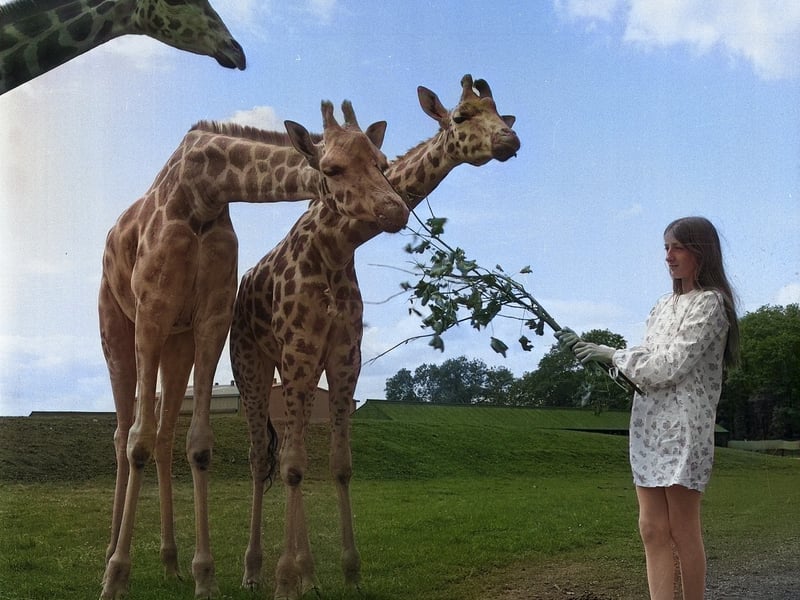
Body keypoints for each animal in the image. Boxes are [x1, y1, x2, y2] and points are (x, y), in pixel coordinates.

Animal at [98, 100, 404, 600]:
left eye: (381, 163)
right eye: (332, 168)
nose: (395, 210)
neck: (203, 190)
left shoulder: (211, 318)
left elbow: (199, 444)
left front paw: (205, 576)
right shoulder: (152, 311)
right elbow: (136, 441)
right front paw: (117, 577)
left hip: (178, 343)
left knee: (162, 436)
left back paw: (170, 563)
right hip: (116, 326)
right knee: (125, 434)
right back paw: (109, 556)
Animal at [229, 74, 518, 600]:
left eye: (382, 164)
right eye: (462, 115)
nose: (510, 140)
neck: (334, 247)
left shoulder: (345, 357)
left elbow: (338, 465)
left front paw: (346, 572)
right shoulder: (301, 353)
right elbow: (293, 465)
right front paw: (285, 580)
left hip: (295, 373)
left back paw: (308, 574)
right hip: (251, 366)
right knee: (262, 458)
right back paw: (255, 571)